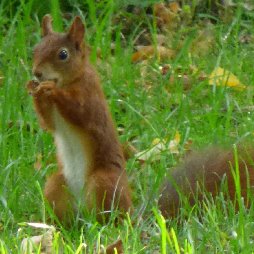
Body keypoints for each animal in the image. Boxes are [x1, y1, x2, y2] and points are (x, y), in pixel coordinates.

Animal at [26, 14, 131, 223]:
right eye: (35, 49)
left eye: (63, 54)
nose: (37, 73)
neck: (69, 82)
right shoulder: (52, 116)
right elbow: (47, 123)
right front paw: (34, 88)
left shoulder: (90, 98)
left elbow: (80, 113)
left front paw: (51, 89)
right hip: (56, 184)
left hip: (104, 181)